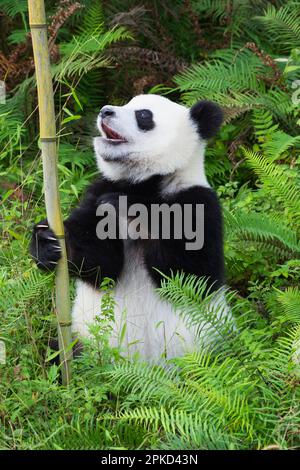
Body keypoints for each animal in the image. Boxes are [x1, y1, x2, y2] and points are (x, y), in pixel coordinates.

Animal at [31, 93, 232, 362]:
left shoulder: (197, 201)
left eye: (143, 115)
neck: (143, 183)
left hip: (209, 349)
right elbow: (101, 265)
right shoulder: (98, 192)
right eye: (126, 103)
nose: (105, 111)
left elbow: (193, 275)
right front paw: (47, 242)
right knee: (57, 350)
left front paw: (130, 209)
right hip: (83, 340)